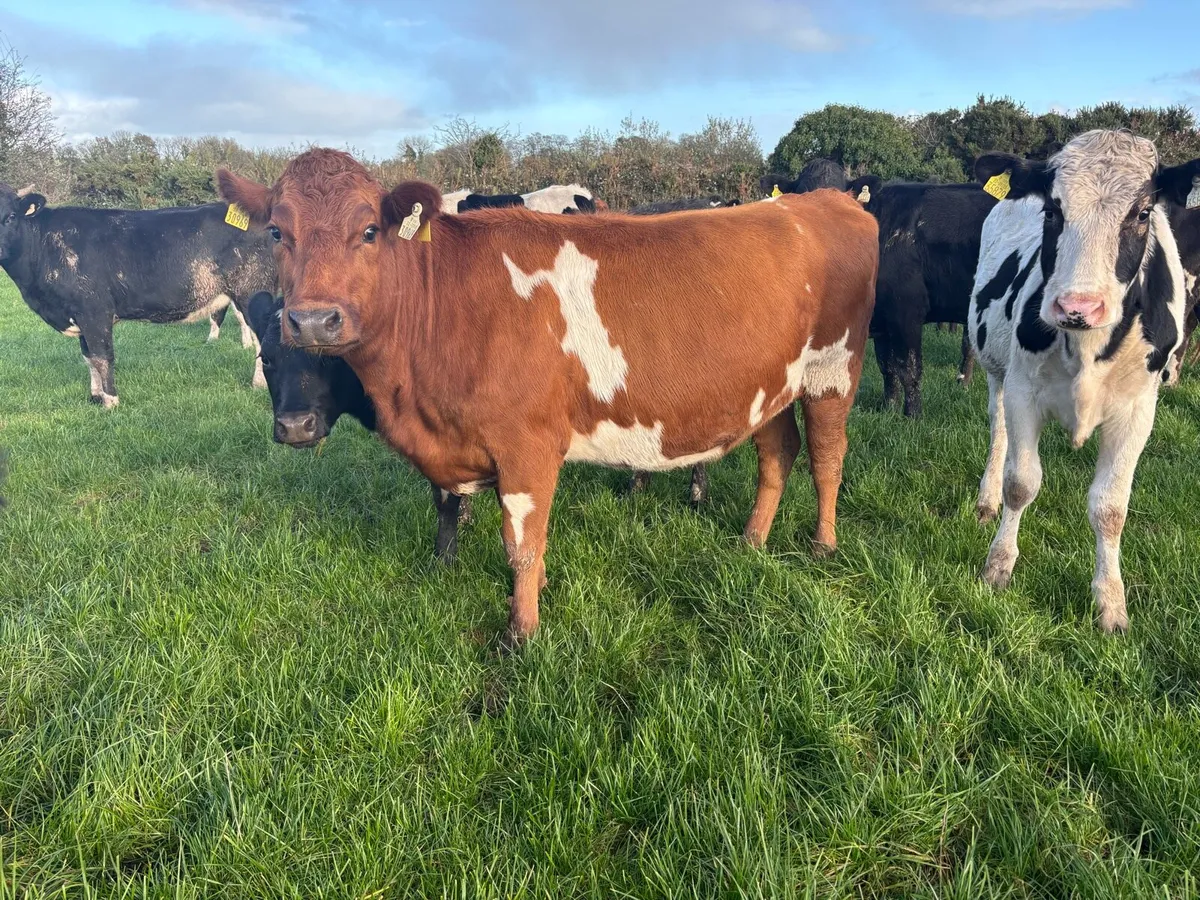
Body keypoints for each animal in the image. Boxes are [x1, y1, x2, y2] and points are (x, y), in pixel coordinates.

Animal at [0, 184, 275, 407]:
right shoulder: (79, 315)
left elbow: (102, 357)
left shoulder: (94, 311)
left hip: (251, 292)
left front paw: (111, 401)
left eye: (11, 216)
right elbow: (88, 358)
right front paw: (95, 397)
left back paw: (259, 384)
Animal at [847, 175, 997, 417]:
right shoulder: (883, 319)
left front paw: (913, 416)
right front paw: (889, 409)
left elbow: (909, 368)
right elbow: (887, 368)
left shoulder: (906, 311)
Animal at [969, 130, 1193, 633]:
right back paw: (986, 498)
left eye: (1142, 213)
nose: (1077, 306)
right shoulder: (1023, 392)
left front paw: (1110, 602)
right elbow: (1021, 482)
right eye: (1052, 211)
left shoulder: (1137, 411)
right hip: (996, 370)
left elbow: (1110, 509)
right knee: (997, 429)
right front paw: (998, 565)